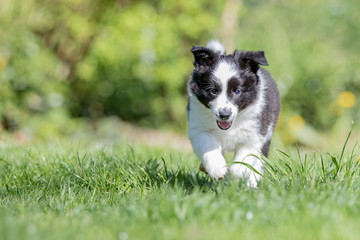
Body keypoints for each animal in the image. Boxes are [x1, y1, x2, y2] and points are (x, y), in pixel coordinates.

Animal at [187, 40, 280, 188]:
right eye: (213, 91)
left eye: (237, 91)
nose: (224, 114)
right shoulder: (199, 129)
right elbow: (210, 148)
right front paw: (218, 169)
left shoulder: (254, 136)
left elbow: (243, 162)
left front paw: (235, 177)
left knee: (259, 162)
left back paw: (251, 185)